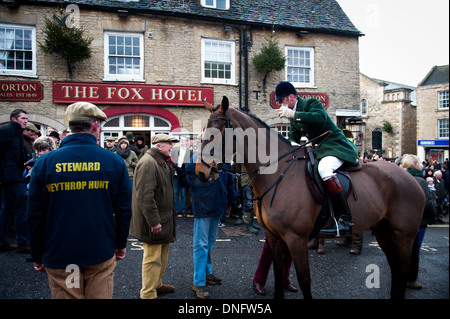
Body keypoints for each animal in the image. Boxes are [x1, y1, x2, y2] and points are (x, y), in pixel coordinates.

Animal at [197, 95, 426, 300]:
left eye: (215, 134)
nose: (200, 173)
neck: (278, 172)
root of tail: (411, 177)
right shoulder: (274, 236)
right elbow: (278, 274)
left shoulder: (296, 238)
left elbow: (304, 279)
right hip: (382, 229)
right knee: (395, 267)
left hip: (404, 235)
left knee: (401, 269)